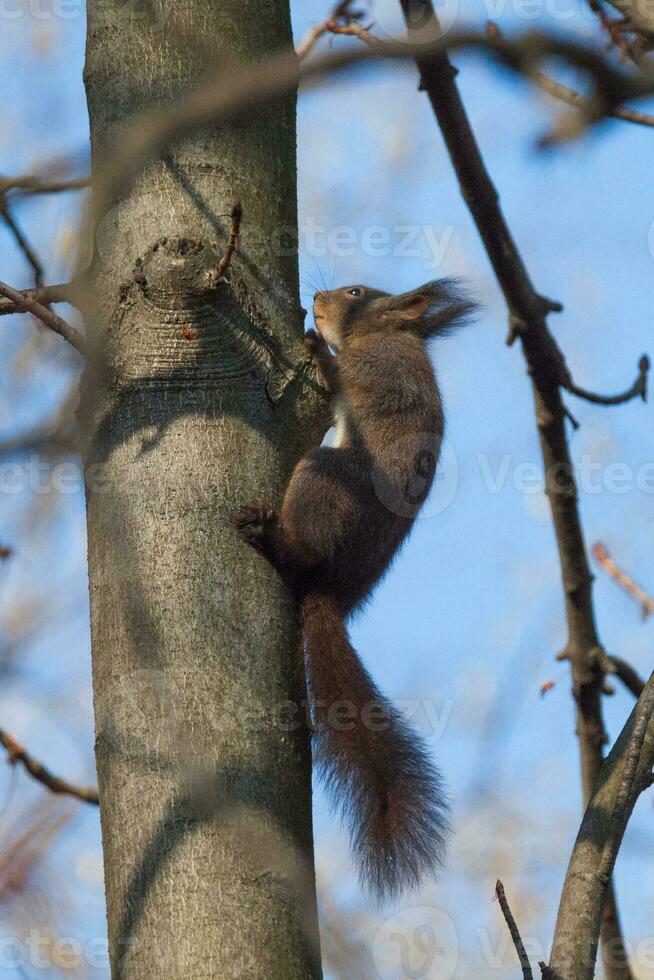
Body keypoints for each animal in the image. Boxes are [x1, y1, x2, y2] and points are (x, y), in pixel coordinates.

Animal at [236, 278, 476, 904]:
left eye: (355, 292)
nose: (318, 298)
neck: (388, 335)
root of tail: (332, 592)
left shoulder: (379, 369)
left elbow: (347, 376)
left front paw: (317, 348)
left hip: (326, 477)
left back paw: (275, 539)